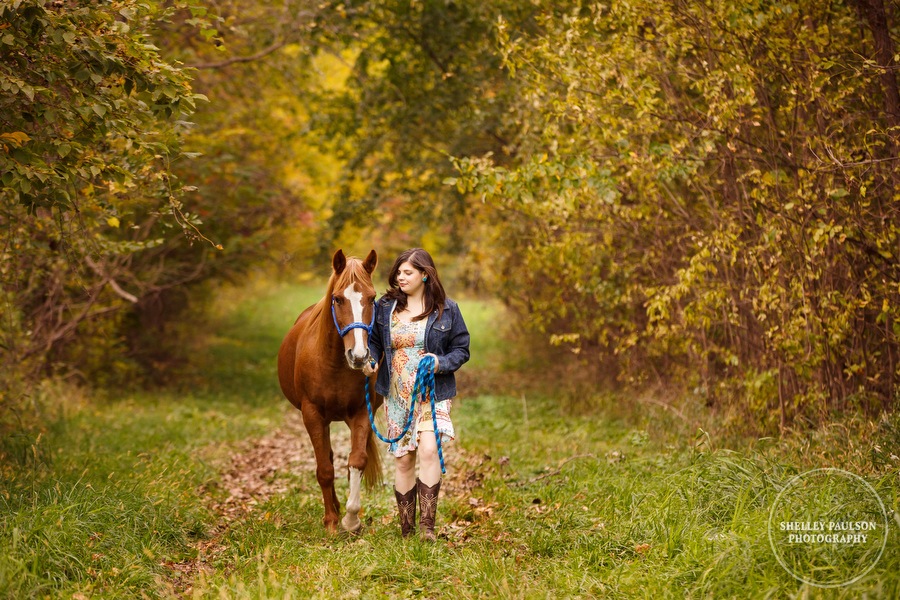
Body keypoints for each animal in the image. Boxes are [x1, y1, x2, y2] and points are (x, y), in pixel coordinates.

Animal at [278, 251, 384, 532]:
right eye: (337, 299)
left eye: (372, 298)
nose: (359, 356)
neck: (334, 364)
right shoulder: (312, 414)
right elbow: (324, 469)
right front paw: (331, 521)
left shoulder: (361, 412)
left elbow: (356, 461)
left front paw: (351, 519)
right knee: (327, 458)